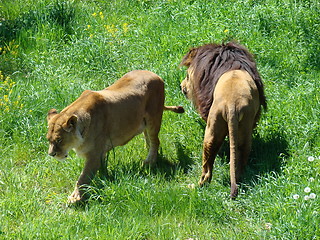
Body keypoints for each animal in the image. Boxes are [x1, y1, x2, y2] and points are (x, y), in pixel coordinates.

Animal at [46, 69, 184, 202]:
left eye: (59, 140)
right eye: (49, 140)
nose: (51, 154)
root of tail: (156, 75)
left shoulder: (94, 154)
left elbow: (83, 178)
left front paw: (75, 198)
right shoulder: (100, 153)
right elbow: (100, 169)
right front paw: (104, 177)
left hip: (153, 119)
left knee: (156, 141)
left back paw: (149, 162)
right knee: (149, 139)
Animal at [180, 41, 268, 199]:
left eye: (187, 76)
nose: (181, 86)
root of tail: (232, 103)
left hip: (212, 126)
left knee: (206, 169)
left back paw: (196, 186)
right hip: (243, 128)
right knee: (240, 157)